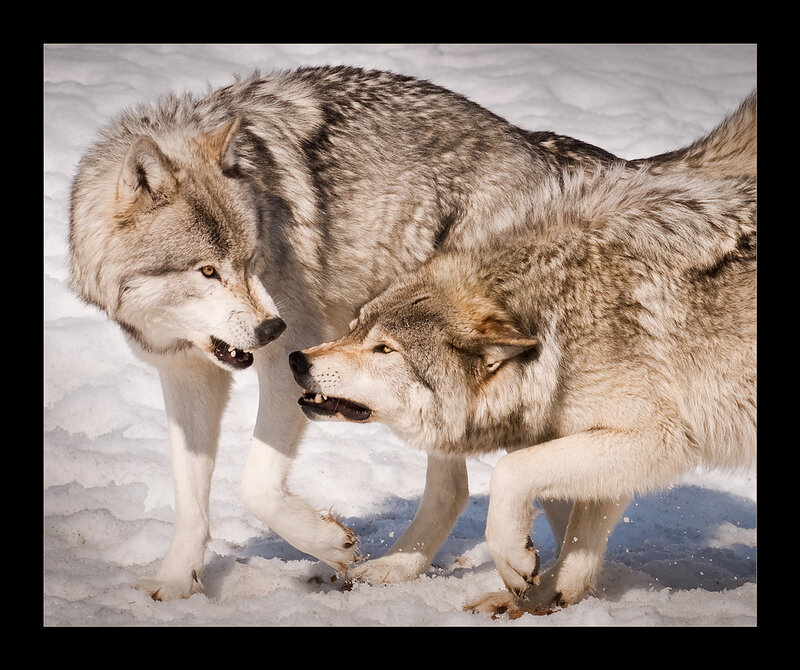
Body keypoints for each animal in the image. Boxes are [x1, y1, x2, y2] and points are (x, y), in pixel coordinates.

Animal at [68, 63, 755, 600]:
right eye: (208, 270)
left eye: (252, 259)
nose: (270, 325)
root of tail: (548, 149)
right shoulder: (185, 373)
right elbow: (190, 494)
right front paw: (177, 582)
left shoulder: (287, 359)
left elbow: (257, 486)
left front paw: (329, 543)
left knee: (491, 485)